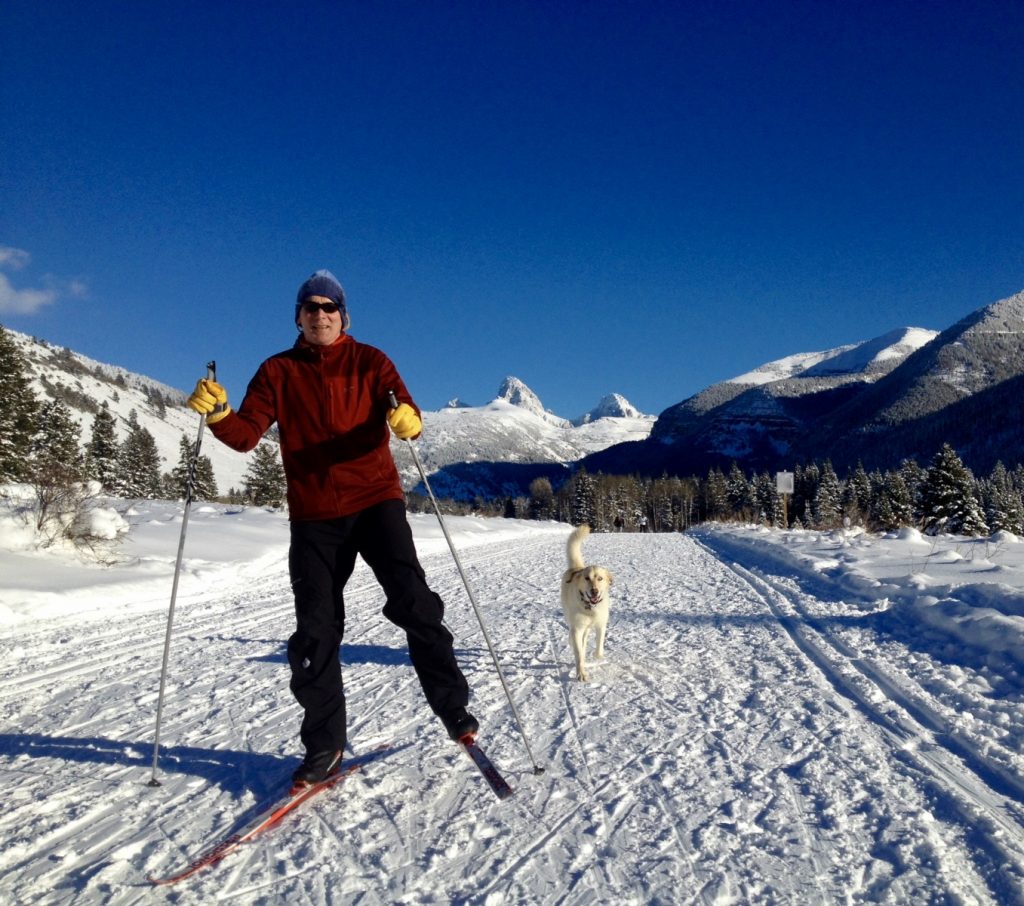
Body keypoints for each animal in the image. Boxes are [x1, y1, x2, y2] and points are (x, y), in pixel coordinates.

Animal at [565, 524, 610, 679]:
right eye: (586, 578)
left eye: (600, 578)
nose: (594, 591)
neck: (590, 607)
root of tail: (577, 568)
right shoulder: (577, 628)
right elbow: (578, 653)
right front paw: (581, 673)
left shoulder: (601, 623)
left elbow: (599, 644)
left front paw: (598, 656)